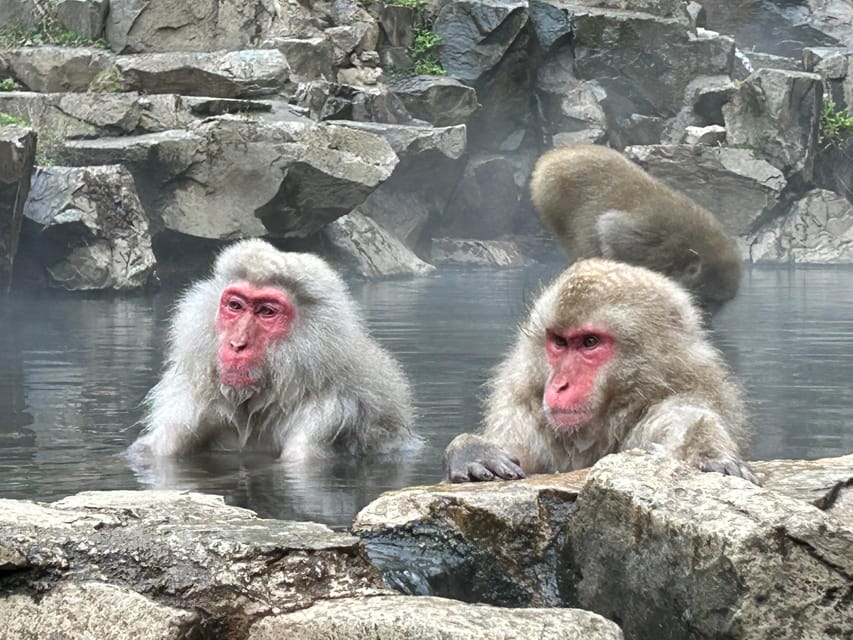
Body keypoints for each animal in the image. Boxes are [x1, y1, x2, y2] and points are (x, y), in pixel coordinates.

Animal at [445, 258, 758, 484]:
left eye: (590, 342)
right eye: (559, 342)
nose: (559, 385)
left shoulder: (684, 394)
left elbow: (690, 421)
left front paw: (705, 454)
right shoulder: (522, 408)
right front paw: (472, 451)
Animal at [530, 144, 741, 315]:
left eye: (718, 303)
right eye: (708, 300)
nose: (710, 316)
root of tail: (553, 156)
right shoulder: (646, 241)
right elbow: (609, 228)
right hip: (551, 197)